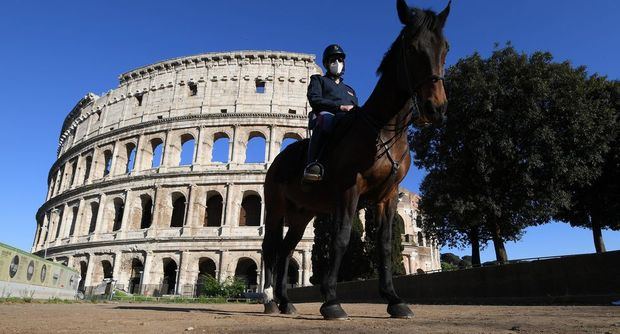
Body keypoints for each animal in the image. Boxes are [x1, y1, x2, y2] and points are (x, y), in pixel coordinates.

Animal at [260, 0, 450, 318]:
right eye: (412, 48)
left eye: (445, 48)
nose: (434, 107)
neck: (384, 129)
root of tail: (279, 160)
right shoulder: (350, 188)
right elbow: (342, 237)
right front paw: (331, 301)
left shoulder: (388, 195)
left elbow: (384, 244)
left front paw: (393, 299)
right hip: (276, 207)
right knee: (269, 248)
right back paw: (269, 300)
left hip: (301, 214)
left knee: (286, 250)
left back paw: (286, 302)